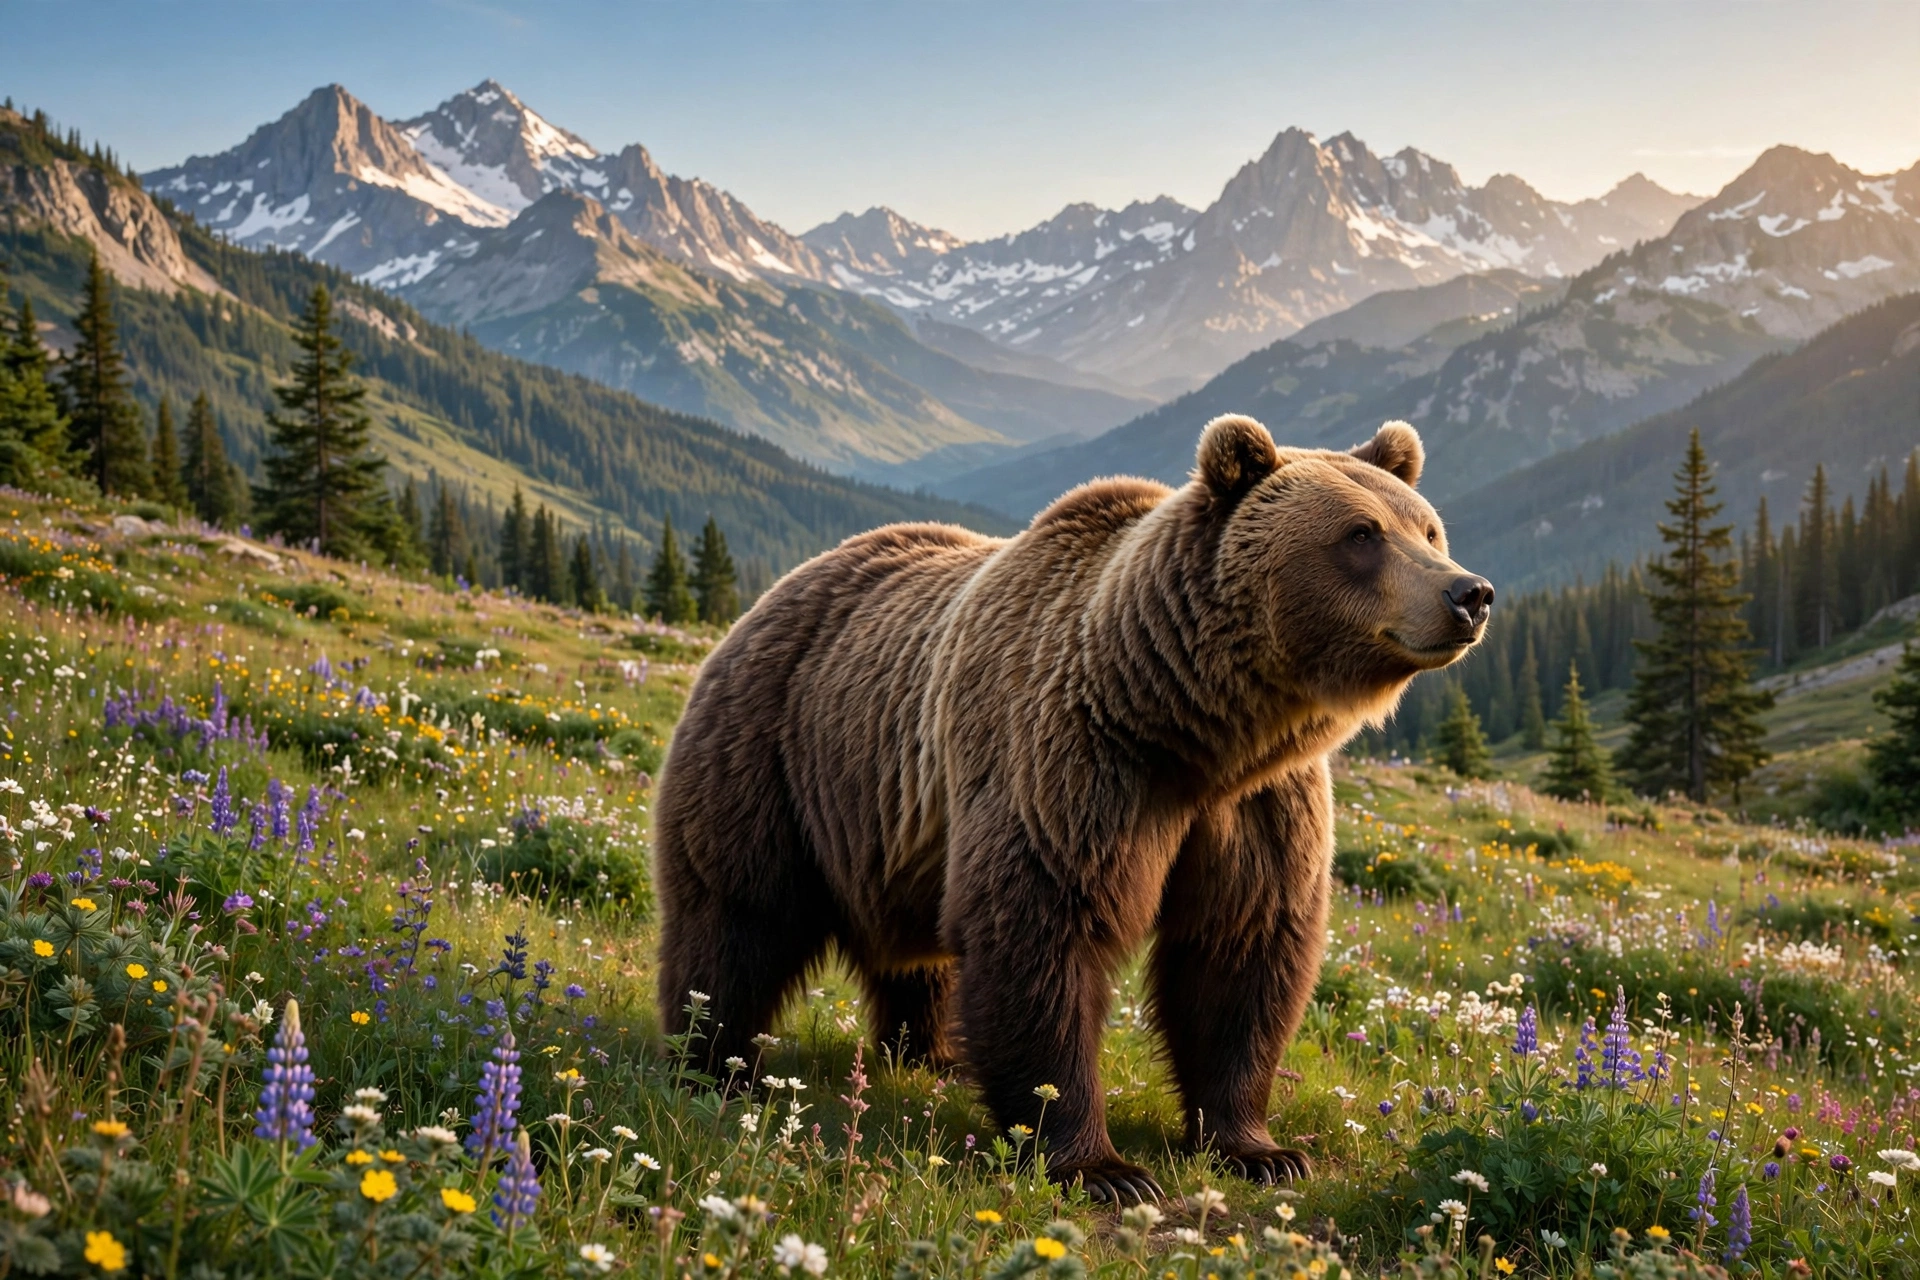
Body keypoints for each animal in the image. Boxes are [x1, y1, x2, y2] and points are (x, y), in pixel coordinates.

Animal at [652, 414, 1492, 1204]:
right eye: (1361, 534)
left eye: (1427, 528)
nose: (1469, 593)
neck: (1194, 729)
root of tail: (776, 593)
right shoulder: (1072, 766)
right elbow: (1045, 932)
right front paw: (1101, 1166)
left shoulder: (1256, 807)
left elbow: (1241, 951)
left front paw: (1260, 1150)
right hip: (772, 757)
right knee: (736, 917)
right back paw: (715, 1063)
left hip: (893, 830)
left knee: (916, 955)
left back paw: (932, 1052)